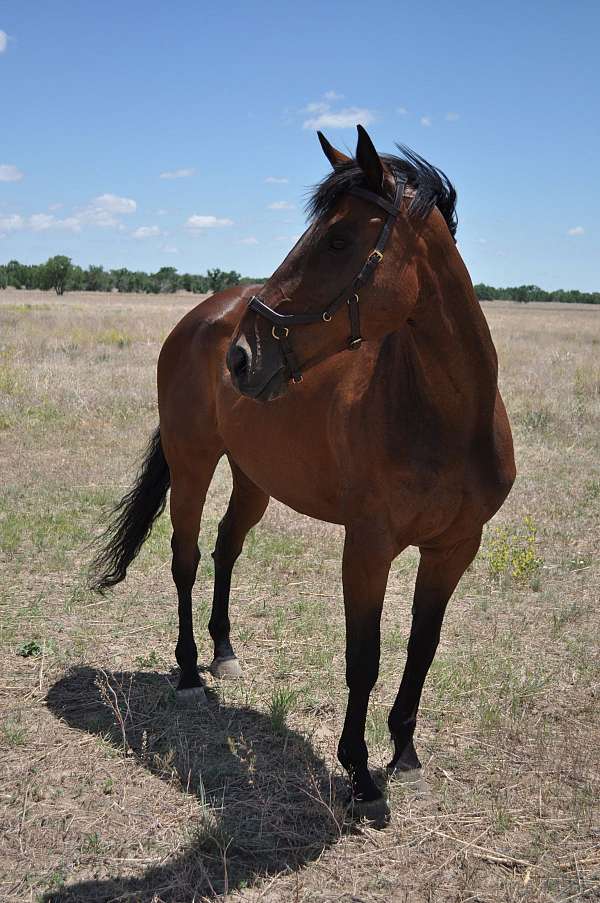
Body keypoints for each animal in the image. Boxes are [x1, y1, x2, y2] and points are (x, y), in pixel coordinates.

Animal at [92, 125, 516, 820]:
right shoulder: (368, 548)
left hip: (253, 479)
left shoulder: (455, 547)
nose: (243, 357)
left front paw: (405, 755)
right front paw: (362, 777)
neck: (446, 418)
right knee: (185, 557)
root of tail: (202, 317)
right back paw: (189, 672)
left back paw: (225, 654)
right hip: (192, 461)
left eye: (338, 240)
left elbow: (421, 648)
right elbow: (363, 658)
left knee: (225, 549)